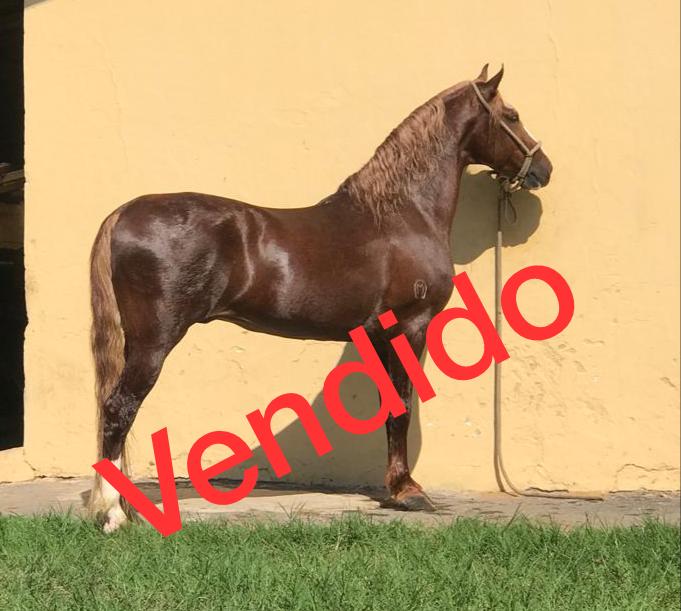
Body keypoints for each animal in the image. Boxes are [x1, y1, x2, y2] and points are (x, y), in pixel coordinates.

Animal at [88, 65, 553, 532]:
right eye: (511, 115)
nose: (543, 169)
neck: (402, 214)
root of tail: (123, 212)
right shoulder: (411, 326)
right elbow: (404, 406)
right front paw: (410, 493)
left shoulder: (380, 336)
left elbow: (389, 407)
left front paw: (395, 487)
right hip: (154, 341)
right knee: (119, 408)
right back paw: (114, 513)